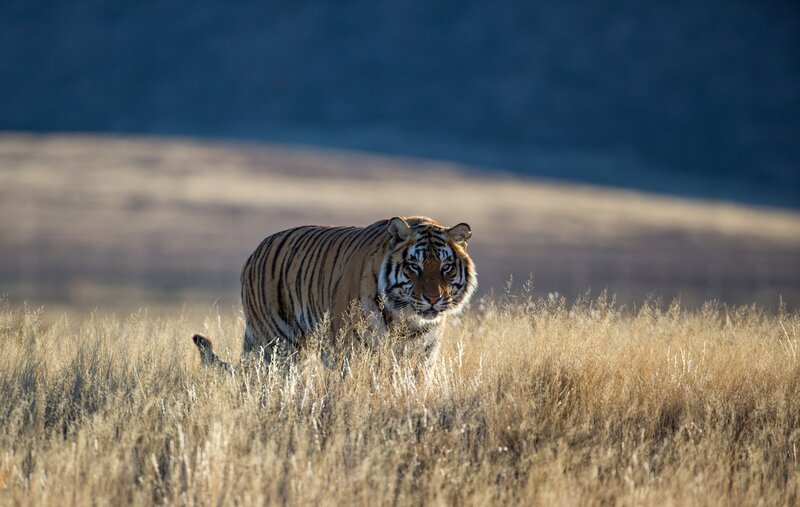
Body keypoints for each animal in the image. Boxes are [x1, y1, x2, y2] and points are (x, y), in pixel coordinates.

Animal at [192, 216, 477, 369]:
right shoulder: (351, 351)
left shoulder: (422, 355)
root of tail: (256, 251)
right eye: (414, 267)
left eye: (446, 267)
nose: (433, 299)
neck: (406, 320)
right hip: (278, 344)